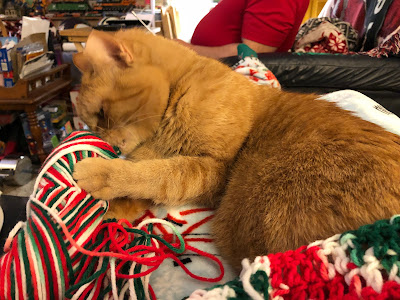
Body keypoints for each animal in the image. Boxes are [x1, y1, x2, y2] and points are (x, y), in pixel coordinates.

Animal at [73, 28, 400, 272]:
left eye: (102, 114)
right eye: (93, 124)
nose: (109, 143)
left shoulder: (213, 170)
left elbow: (156, 175)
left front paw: (100, 172)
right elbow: (144, 184)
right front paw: (109, 216)